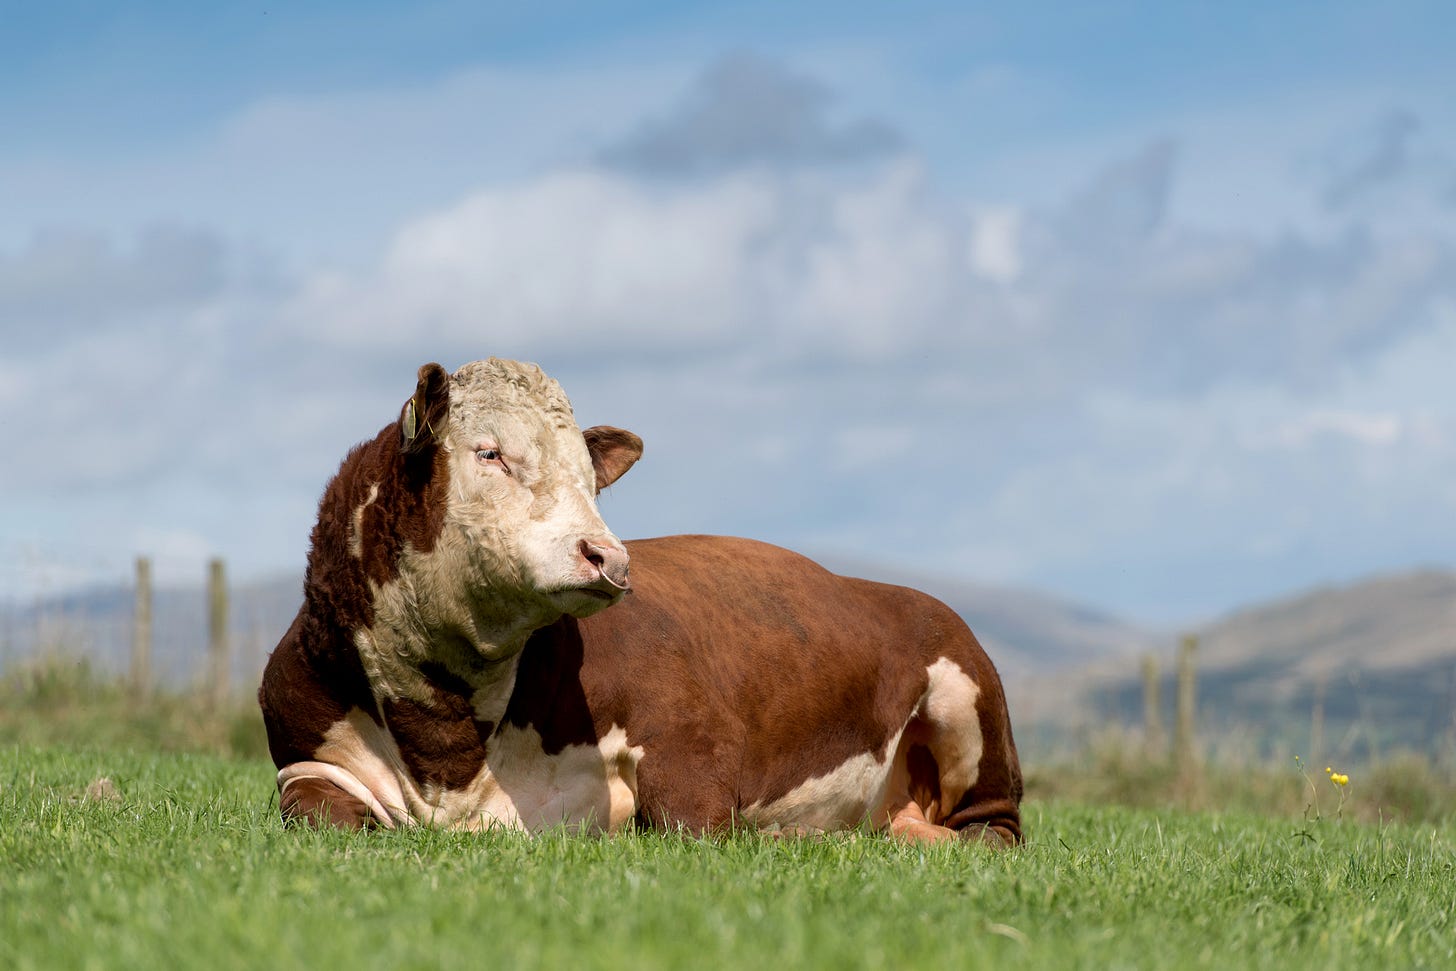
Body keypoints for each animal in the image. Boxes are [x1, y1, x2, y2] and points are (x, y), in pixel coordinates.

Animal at [259, 358, 1023, 845]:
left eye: (591, 477)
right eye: (489, 452)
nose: (609, 556)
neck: (447, 745)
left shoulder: (690, 737)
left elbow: (696, 826)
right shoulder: (304, 758)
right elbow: (317, 815)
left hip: (967, 693)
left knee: (993, 830)